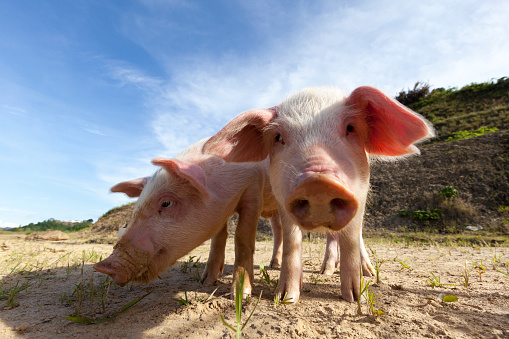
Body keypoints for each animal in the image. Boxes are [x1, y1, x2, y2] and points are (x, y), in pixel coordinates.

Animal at [202, 85, 432, 302]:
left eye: (350, 127)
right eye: (278, 137)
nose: (318, 183)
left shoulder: (360, 194)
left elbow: (350, 239)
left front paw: (356, 298)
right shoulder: (282, 199)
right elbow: (292, 240)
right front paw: (286, 298)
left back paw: (363, 272)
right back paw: (307, 269)